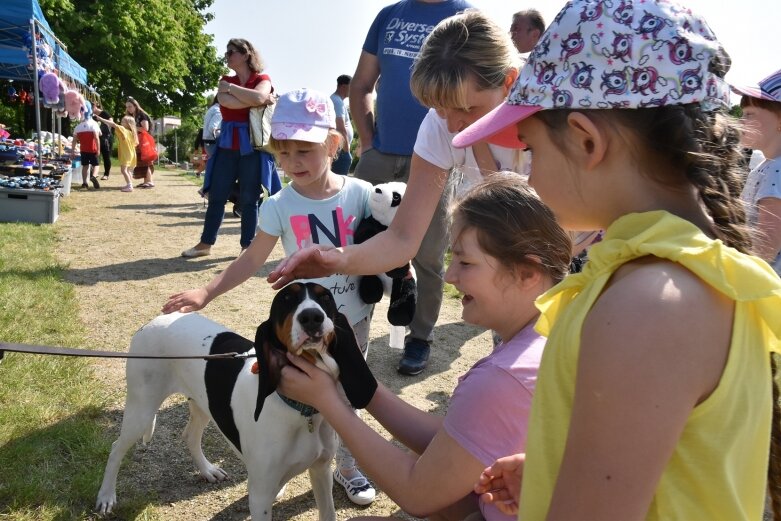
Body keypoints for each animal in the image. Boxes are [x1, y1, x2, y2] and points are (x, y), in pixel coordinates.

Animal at [94, 282, 360, 516]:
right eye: (286, 299)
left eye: (325, 298)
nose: (312, 317)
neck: (300, 409)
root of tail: (151, 322)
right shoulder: (260, 496)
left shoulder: (321, 471)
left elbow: (328, 513)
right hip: (141, 409)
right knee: (116, 448)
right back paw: (106, 496)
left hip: (204, 404)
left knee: (190, 436)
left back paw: (207, 470)